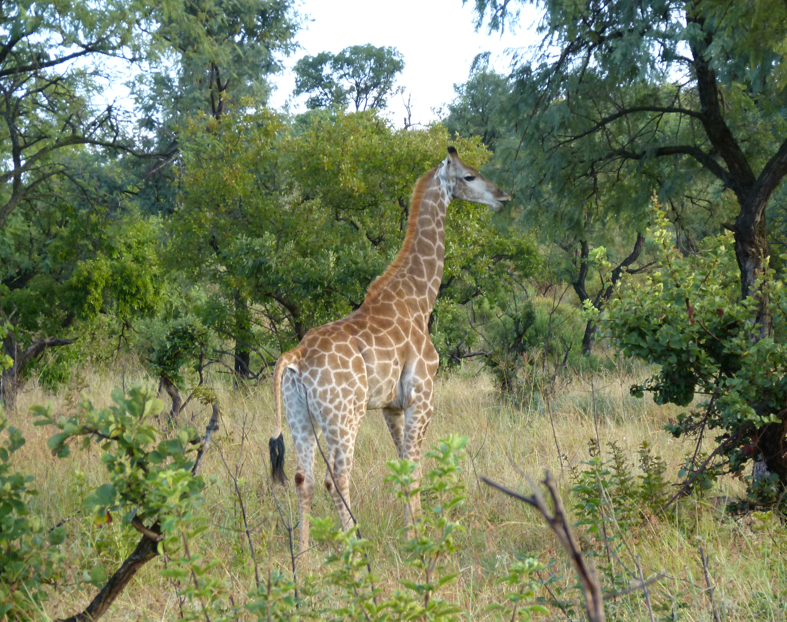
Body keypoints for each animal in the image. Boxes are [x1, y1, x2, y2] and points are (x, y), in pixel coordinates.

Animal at [268, 146, 511, 553]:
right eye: (469, 176)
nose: (502, 196)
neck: (418, 298)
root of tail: (295, 359)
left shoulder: (390, 406)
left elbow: (403, 468)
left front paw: (412, 535)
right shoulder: (422, 395)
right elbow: (414, 470)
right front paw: (420, 541)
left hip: (299, 415)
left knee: (305, 478)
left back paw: (302, 557)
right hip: (344, 415)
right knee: (336, 477)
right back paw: (353, 547)